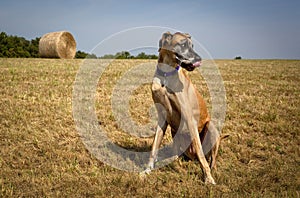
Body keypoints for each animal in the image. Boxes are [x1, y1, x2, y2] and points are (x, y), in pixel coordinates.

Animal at [143, 31, 223, 185]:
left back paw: (212, 169)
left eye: (192, 46)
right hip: (175, 132)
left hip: (211, 128)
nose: (199, 59)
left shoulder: (189, 119)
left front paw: (208, 178)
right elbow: (154, 146)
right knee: (177, 154)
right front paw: (147, 170)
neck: (166, 75)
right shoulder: (162, 118)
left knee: (209, 158)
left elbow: (200, 152)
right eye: (183, 44)